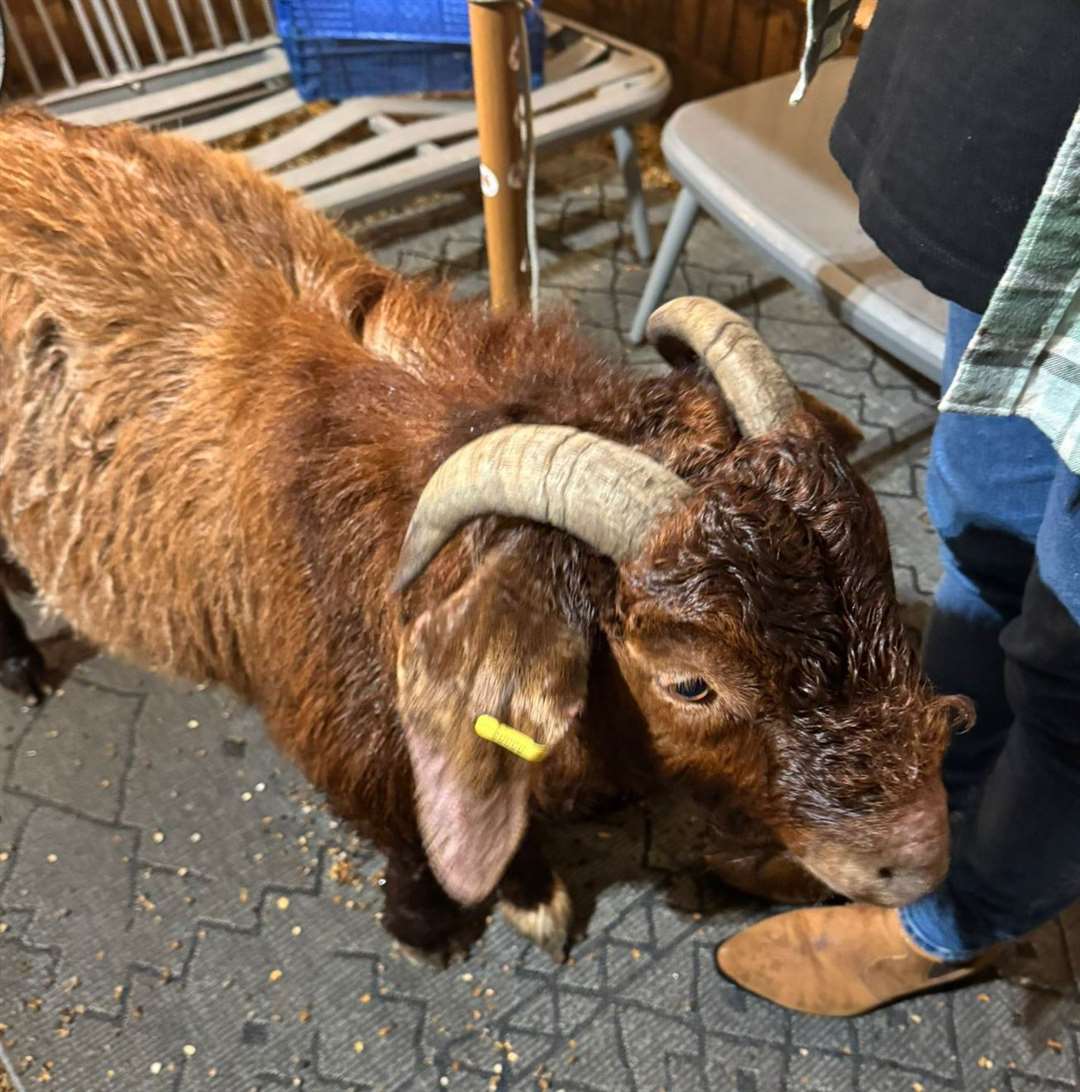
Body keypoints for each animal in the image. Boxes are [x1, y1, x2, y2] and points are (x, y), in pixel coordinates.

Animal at [0, 108, 969, 965]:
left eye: (884, 577)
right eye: (690, 684)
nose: (917, 856)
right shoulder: (349, 745)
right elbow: (410, 839)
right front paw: (448, 921)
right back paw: (22, 667)